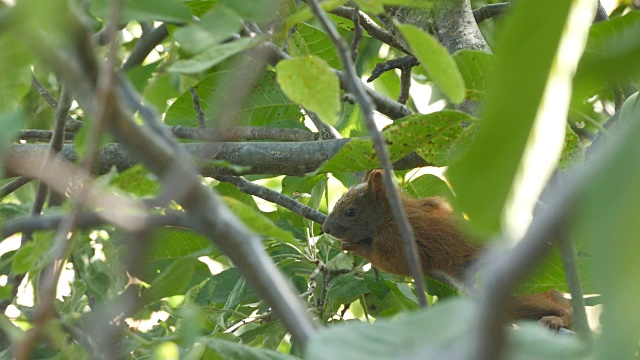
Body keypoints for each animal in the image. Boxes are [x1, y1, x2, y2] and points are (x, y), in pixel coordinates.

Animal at [322, 170, 572, 330]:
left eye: (350, 212)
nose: (325, 228)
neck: (391, 215)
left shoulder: (402, 240)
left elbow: (395, 263)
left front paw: (355, 247)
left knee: (562, 308)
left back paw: (560, 318)